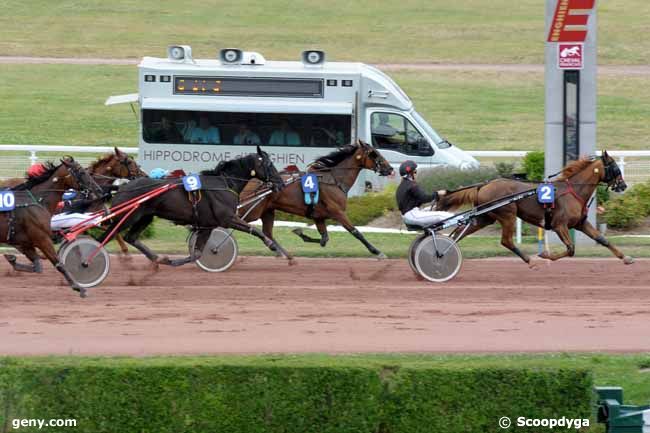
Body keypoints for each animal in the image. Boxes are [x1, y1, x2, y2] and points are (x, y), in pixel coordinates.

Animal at [1, 157, 103, 296]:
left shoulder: (25, 241)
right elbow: (58, 263)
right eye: (82, 172)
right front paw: (79, 288)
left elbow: (37, 266)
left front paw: (12, 259)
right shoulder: (42, 238)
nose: (99, 191)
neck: (37, 201)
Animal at [100, 147, 290, 264]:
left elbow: (196, 253)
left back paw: (158, 259)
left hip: (145, 217)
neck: (224, 183)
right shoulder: (227, 218)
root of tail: (123, 186)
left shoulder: (208, 224)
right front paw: (272, 245)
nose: (281, 184)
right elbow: (255, 229)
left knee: (130, 238)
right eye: (269, 164)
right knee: (105, 237)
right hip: (126, 217)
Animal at [237, 141, 392, 256]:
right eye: (374, 154)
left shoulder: (318, 216)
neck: (334, 180)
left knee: (267, 233)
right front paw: (377, 251)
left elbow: (324, 239)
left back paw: (282, 253)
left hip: (267, 211)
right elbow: (356, 232)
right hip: (252, 211)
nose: (390, 169)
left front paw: (300, 233)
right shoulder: (338, 212)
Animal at [432, 150, 632, 264]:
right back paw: (529, 260)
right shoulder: (560, 225)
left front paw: (626, 258)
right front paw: (544, 255)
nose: (623, 185)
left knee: (458, 234)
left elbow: (602, 239)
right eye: (615, 167)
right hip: (507, 214)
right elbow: (570, 249)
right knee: (506, 241)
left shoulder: (580, 223)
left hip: (484, 217)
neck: (573, 191)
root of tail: (484, 185)